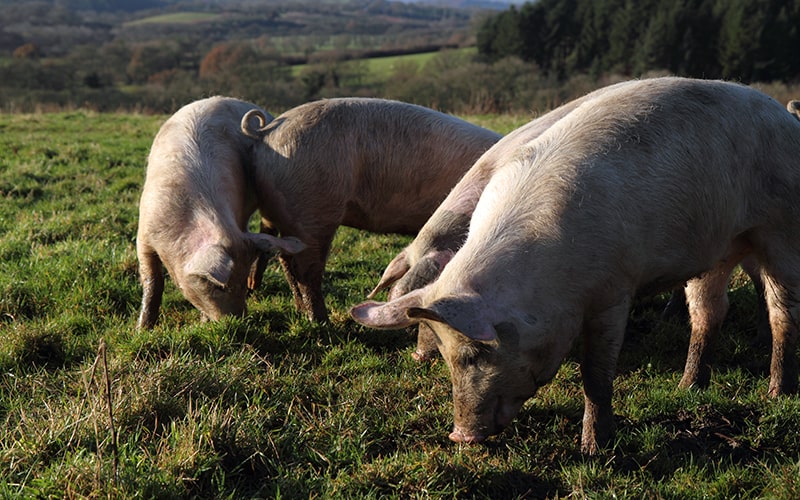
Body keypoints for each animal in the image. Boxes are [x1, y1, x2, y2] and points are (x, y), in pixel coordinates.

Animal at [136, 96, 306, 329]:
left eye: (240, 283)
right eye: (219, 287)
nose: (238, 320)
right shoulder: (144, 234)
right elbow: (152, 282)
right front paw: (141, 330)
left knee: (267, 227)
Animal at [240, 98, 502, 323]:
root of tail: (266, 132)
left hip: (281, 212)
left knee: (284, 258)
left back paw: (297, 308)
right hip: (313, 210)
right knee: (305, 269)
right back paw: (321, 321)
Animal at [350, 77, 800, 455]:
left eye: (477, 353)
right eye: (446, 358)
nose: (460, 436)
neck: (549, 276)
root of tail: (783, 116)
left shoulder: (614, 291)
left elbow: (595, 374)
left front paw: (593, 450)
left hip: (780, 228)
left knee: (782, 311)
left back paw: (777, 393)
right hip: (717, 246)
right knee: (709, 313)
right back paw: (688, 388)